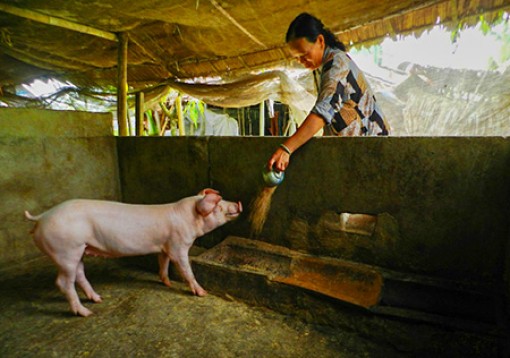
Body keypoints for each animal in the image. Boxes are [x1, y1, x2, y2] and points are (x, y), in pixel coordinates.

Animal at [24, 187, 244, 316]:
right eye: (219, 206)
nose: (238, 203)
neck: (188, 217)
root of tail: (41, 217)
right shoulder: (178, 244)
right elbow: (186, 269)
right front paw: (202, 293)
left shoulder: (164, 245)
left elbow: (163, 262)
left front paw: (167, 282)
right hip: (65, 250)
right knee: (63, 282)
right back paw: (86, 312)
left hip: (79, 250)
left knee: (79, 274)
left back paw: (98, 299)